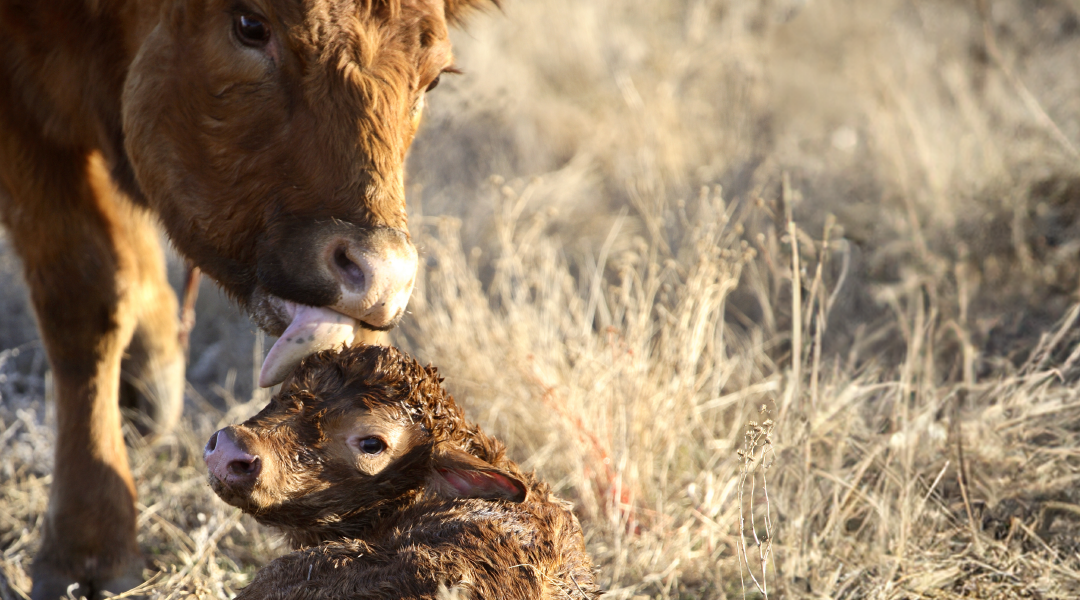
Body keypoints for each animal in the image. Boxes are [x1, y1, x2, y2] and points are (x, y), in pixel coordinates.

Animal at [0, 1, 496, 600]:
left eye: (435, 76)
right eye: (250, 26)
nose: (381, 276)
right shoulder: (24, 125)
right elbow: (84, 296)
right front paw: (88, 549)